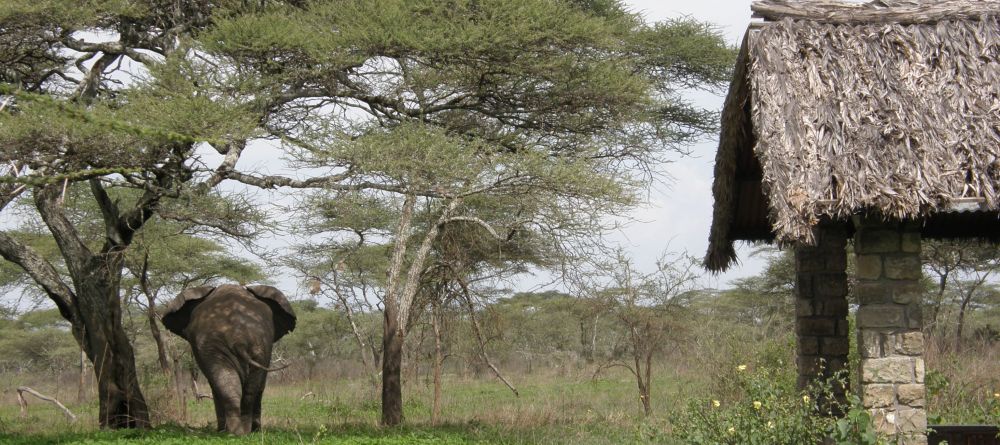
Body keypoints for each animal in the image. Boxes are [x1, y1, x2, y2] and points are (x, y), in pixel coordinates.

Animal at [162, 284, 294, 434]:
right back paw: (240, 432)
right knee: (243, 388)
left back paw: (235, 432)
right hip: (247, 343)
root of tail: (238, 338)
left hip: (246, 343)